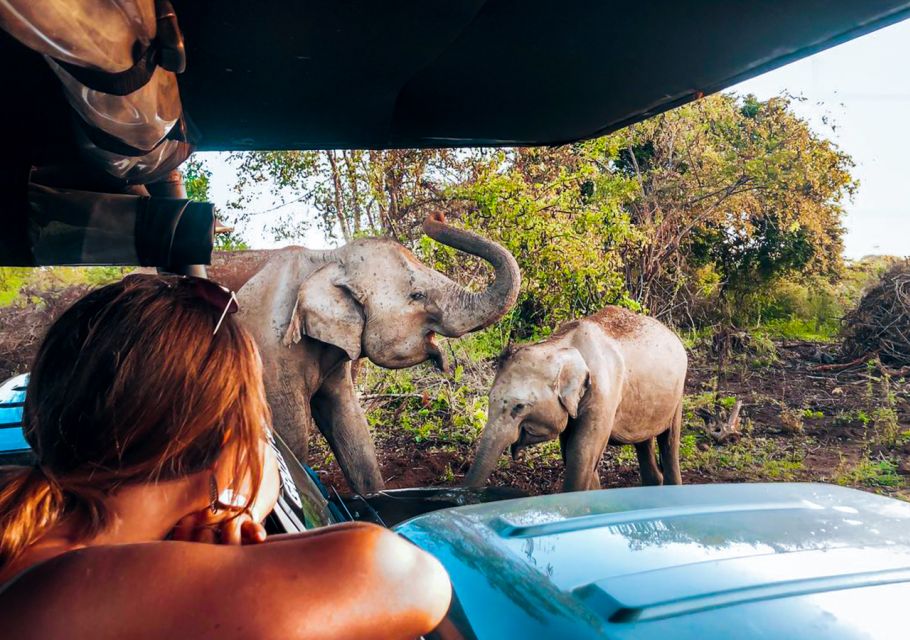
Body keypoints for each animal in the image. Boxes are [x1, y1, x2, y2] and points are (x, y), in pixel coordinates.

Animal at [235, 212, 520, 492]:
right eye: (417, 294)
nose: (436, 215)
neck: (326, 258)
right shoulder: (269, 353)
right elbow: (291, 439)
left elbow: (350, 423)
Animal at [466, 304, 688, 490]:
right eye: (490, 398)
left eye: (519, 406)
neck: (562, 344)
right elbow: (570, 451)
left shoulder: (604, 394)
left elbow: (581, 453)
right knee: (643, 440)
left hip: (678, 394)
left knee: (670, 441)